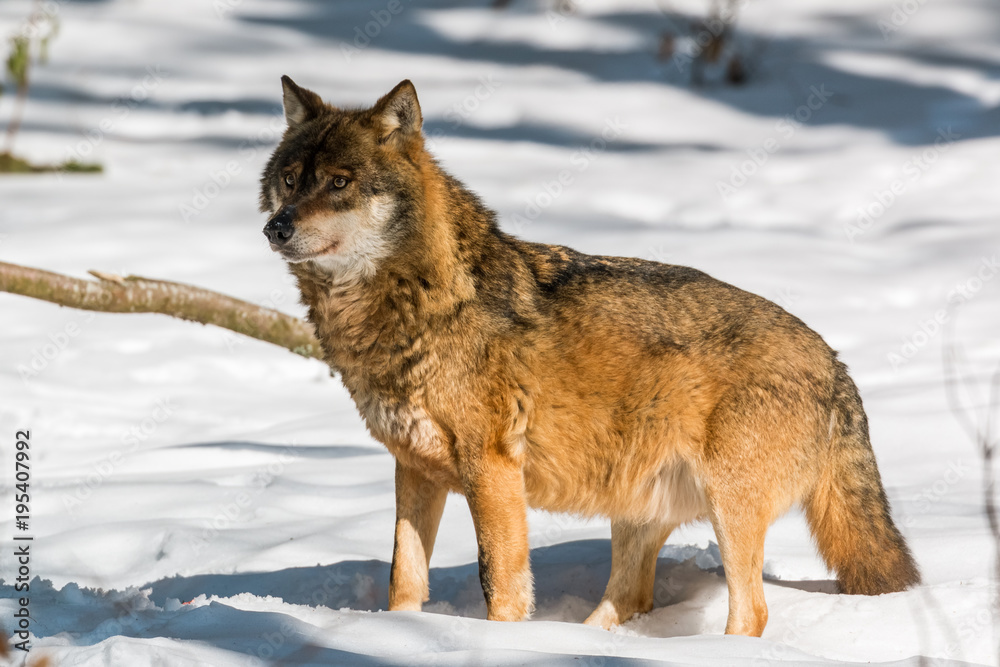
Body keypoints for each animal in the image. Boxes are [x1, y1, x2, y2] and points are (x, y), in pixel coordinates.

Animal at [260, 77, 920, 636]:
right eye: (290, 180)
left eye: (339, 182)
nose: (276, 228)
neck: (414, 301)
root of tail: (836, 364)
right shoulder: (413, 467)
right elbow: (404, 575)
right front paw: (398, 634)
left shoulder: (491, 467)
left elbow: (499, 581)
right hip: (638, 511)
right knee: (630, 598)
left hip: (727, 508)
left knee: (750, 612)